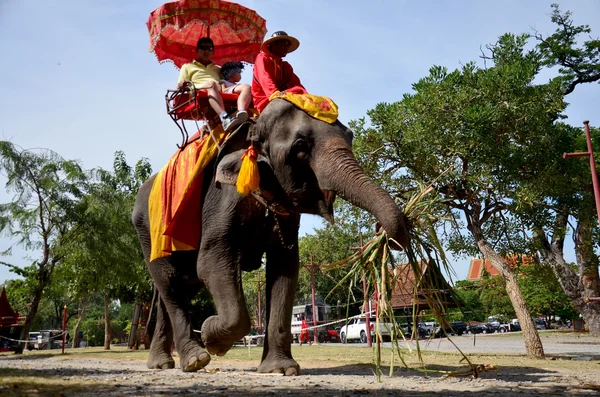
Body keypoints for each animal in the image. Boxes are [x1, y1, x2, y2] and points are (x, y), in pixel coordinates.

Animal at [133, 99, 410, 374]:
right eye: (300, 147)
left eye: (350, 137)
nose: (381, 231)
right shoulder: (220, 198)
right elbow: (212, 262)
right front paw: (213, 338)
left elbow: (284, 268)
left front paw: (280, 369)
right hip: (148, 234)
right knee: (170, 283)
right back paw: (194, 360)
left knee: (178, 287)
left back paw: (163, 363)